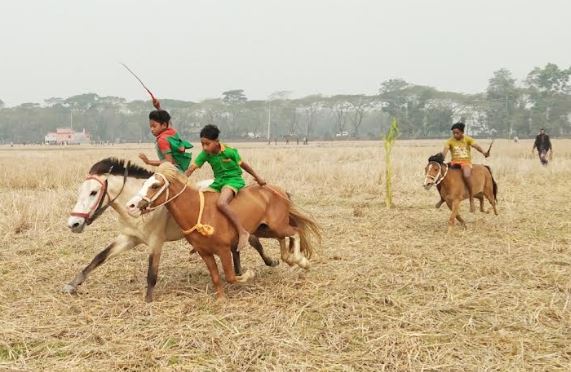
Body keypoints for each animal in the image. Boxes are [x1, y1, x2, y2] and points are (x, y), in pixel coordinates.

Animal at [66, 158, 278, 302]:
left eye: (94, 192)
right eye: (79, 191)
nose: (73, 224)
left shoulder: (155, 242)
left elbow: (152, 274)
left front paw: (148, 301)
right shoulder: (128, 238)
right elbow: (99, 257)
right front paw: (72, 284)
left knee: (253, 241)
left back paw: (269, 262)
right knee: (237, 248)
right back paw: (239, 269)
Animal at [126, 162, 322, 300]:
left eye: (155, 186)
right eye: (145, 183)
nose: (131, 206)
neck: (199, 211)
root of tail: (278, 190)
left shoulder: (224, 249)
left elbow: (230, 276)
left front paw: (249, 274)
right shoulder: (205, 253)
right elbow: (215, 277)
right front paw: (220, 299)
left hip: (277, 225)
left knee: (295, 231)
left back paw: (301, 261)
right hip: (265, 229)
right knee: (285, 237)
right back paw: (290, 259)